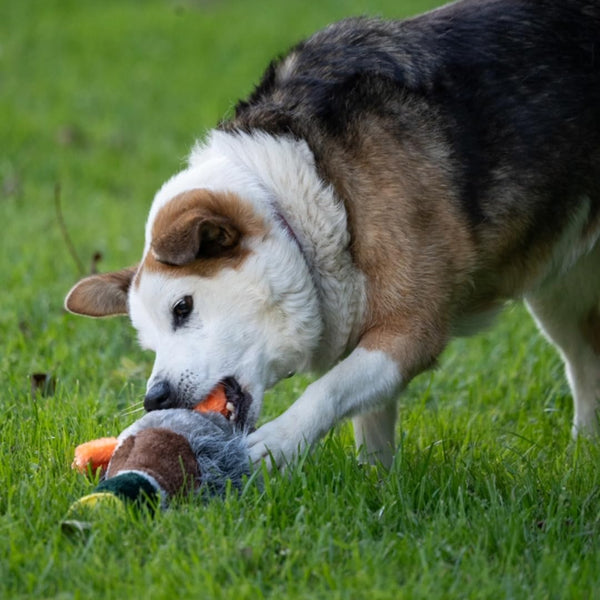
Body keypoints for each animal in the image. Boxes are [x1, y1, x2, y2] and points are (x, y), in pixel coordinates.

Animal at [64, 0, 600, 468]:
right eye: (147, 342)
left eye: (182, 308)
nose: (155, 399)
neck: (310, 198)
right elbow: (370, 423)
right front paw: (378, 489)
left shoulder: (412, 328)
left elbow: (330, 389)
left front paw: (275, 446)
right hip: (561, 294)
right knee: (585, 363)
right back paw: (583, 457)